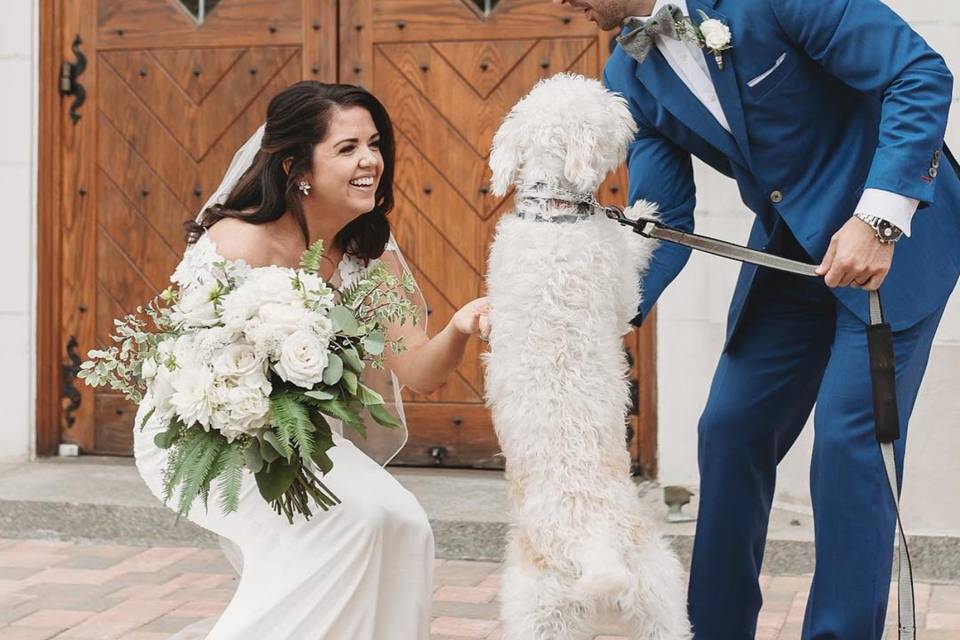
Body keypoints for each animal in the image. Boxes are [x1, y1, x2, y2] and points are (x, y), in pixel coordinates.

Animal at [484, 75, 692, 640]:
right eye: (597, 110)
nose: (627, 110)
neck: (552, 216)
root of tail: (591, 545)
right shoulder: (621, 292)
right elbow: (631, 258)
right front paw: (642, 214)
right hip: (645, 584)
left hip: (576, 611)